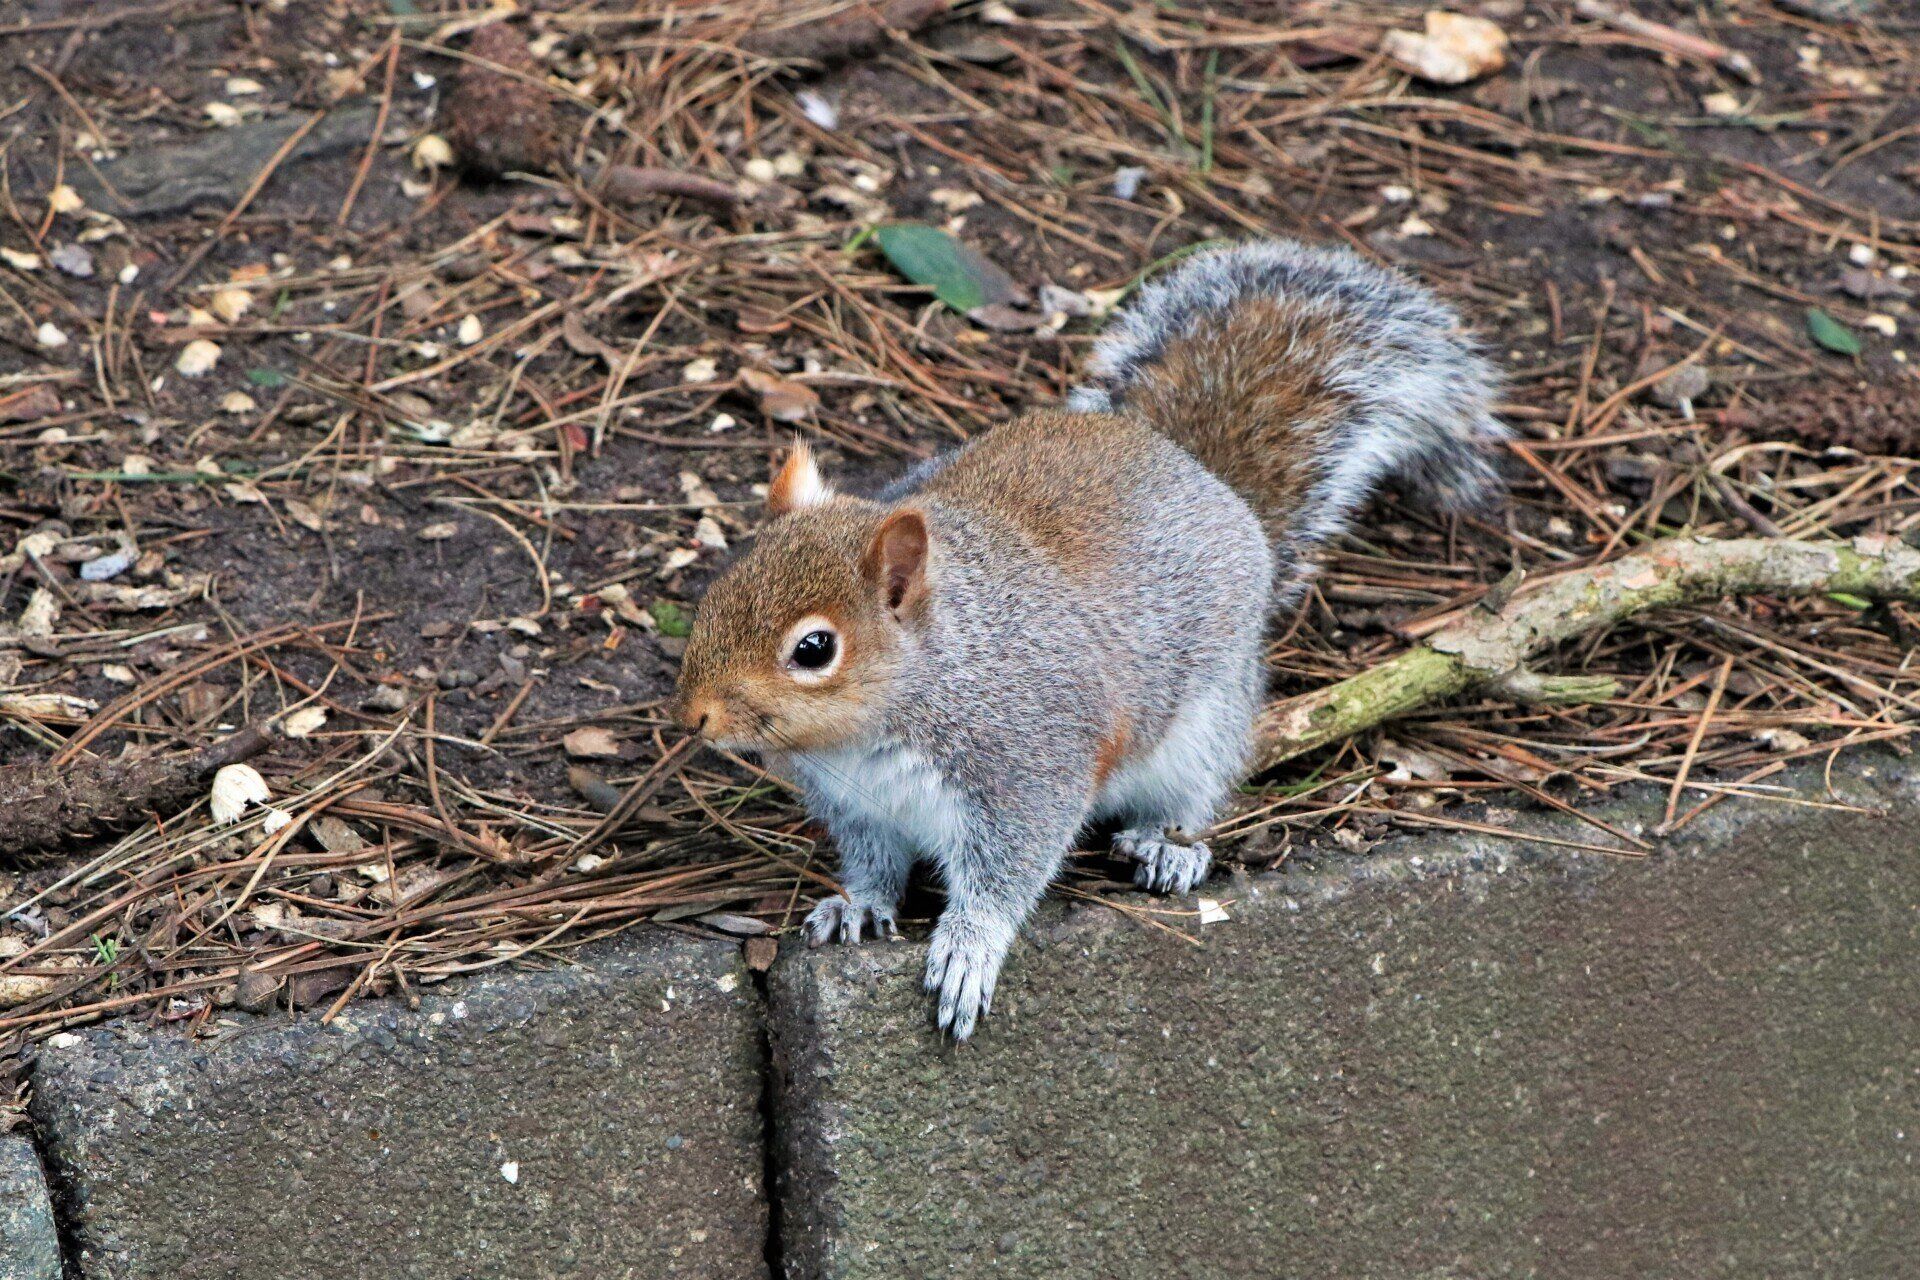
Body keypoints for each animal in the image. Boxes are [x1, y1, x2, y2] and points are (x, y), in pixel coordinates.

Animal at [674, 239, 1504, 1040]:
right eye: (718, 588)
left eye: (814, 650)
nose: (695, 717)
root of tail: (1202, 476)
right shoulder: (859, 806)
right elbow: (875, 862)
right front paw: (859, 902)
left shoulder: (1028, 769)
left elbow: (1009, 870)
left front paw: (970, 948)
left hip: (1204, 723)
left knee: (1193, 793)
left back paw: (1165, 846)